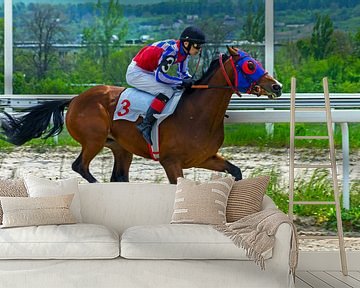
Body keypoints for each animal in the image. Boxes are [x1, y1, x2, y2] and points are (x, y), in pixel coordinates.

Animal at [0, 46, 282, 183]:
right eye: (250, 65)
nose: (277, 86)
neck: (198, 114)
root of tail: (76, 98)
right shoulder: (171, 162)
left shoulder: (205, 158)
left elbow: (236, 172)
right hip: (93, 140)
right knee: (80, 166)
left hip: (120, 147)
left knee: (118, 177)